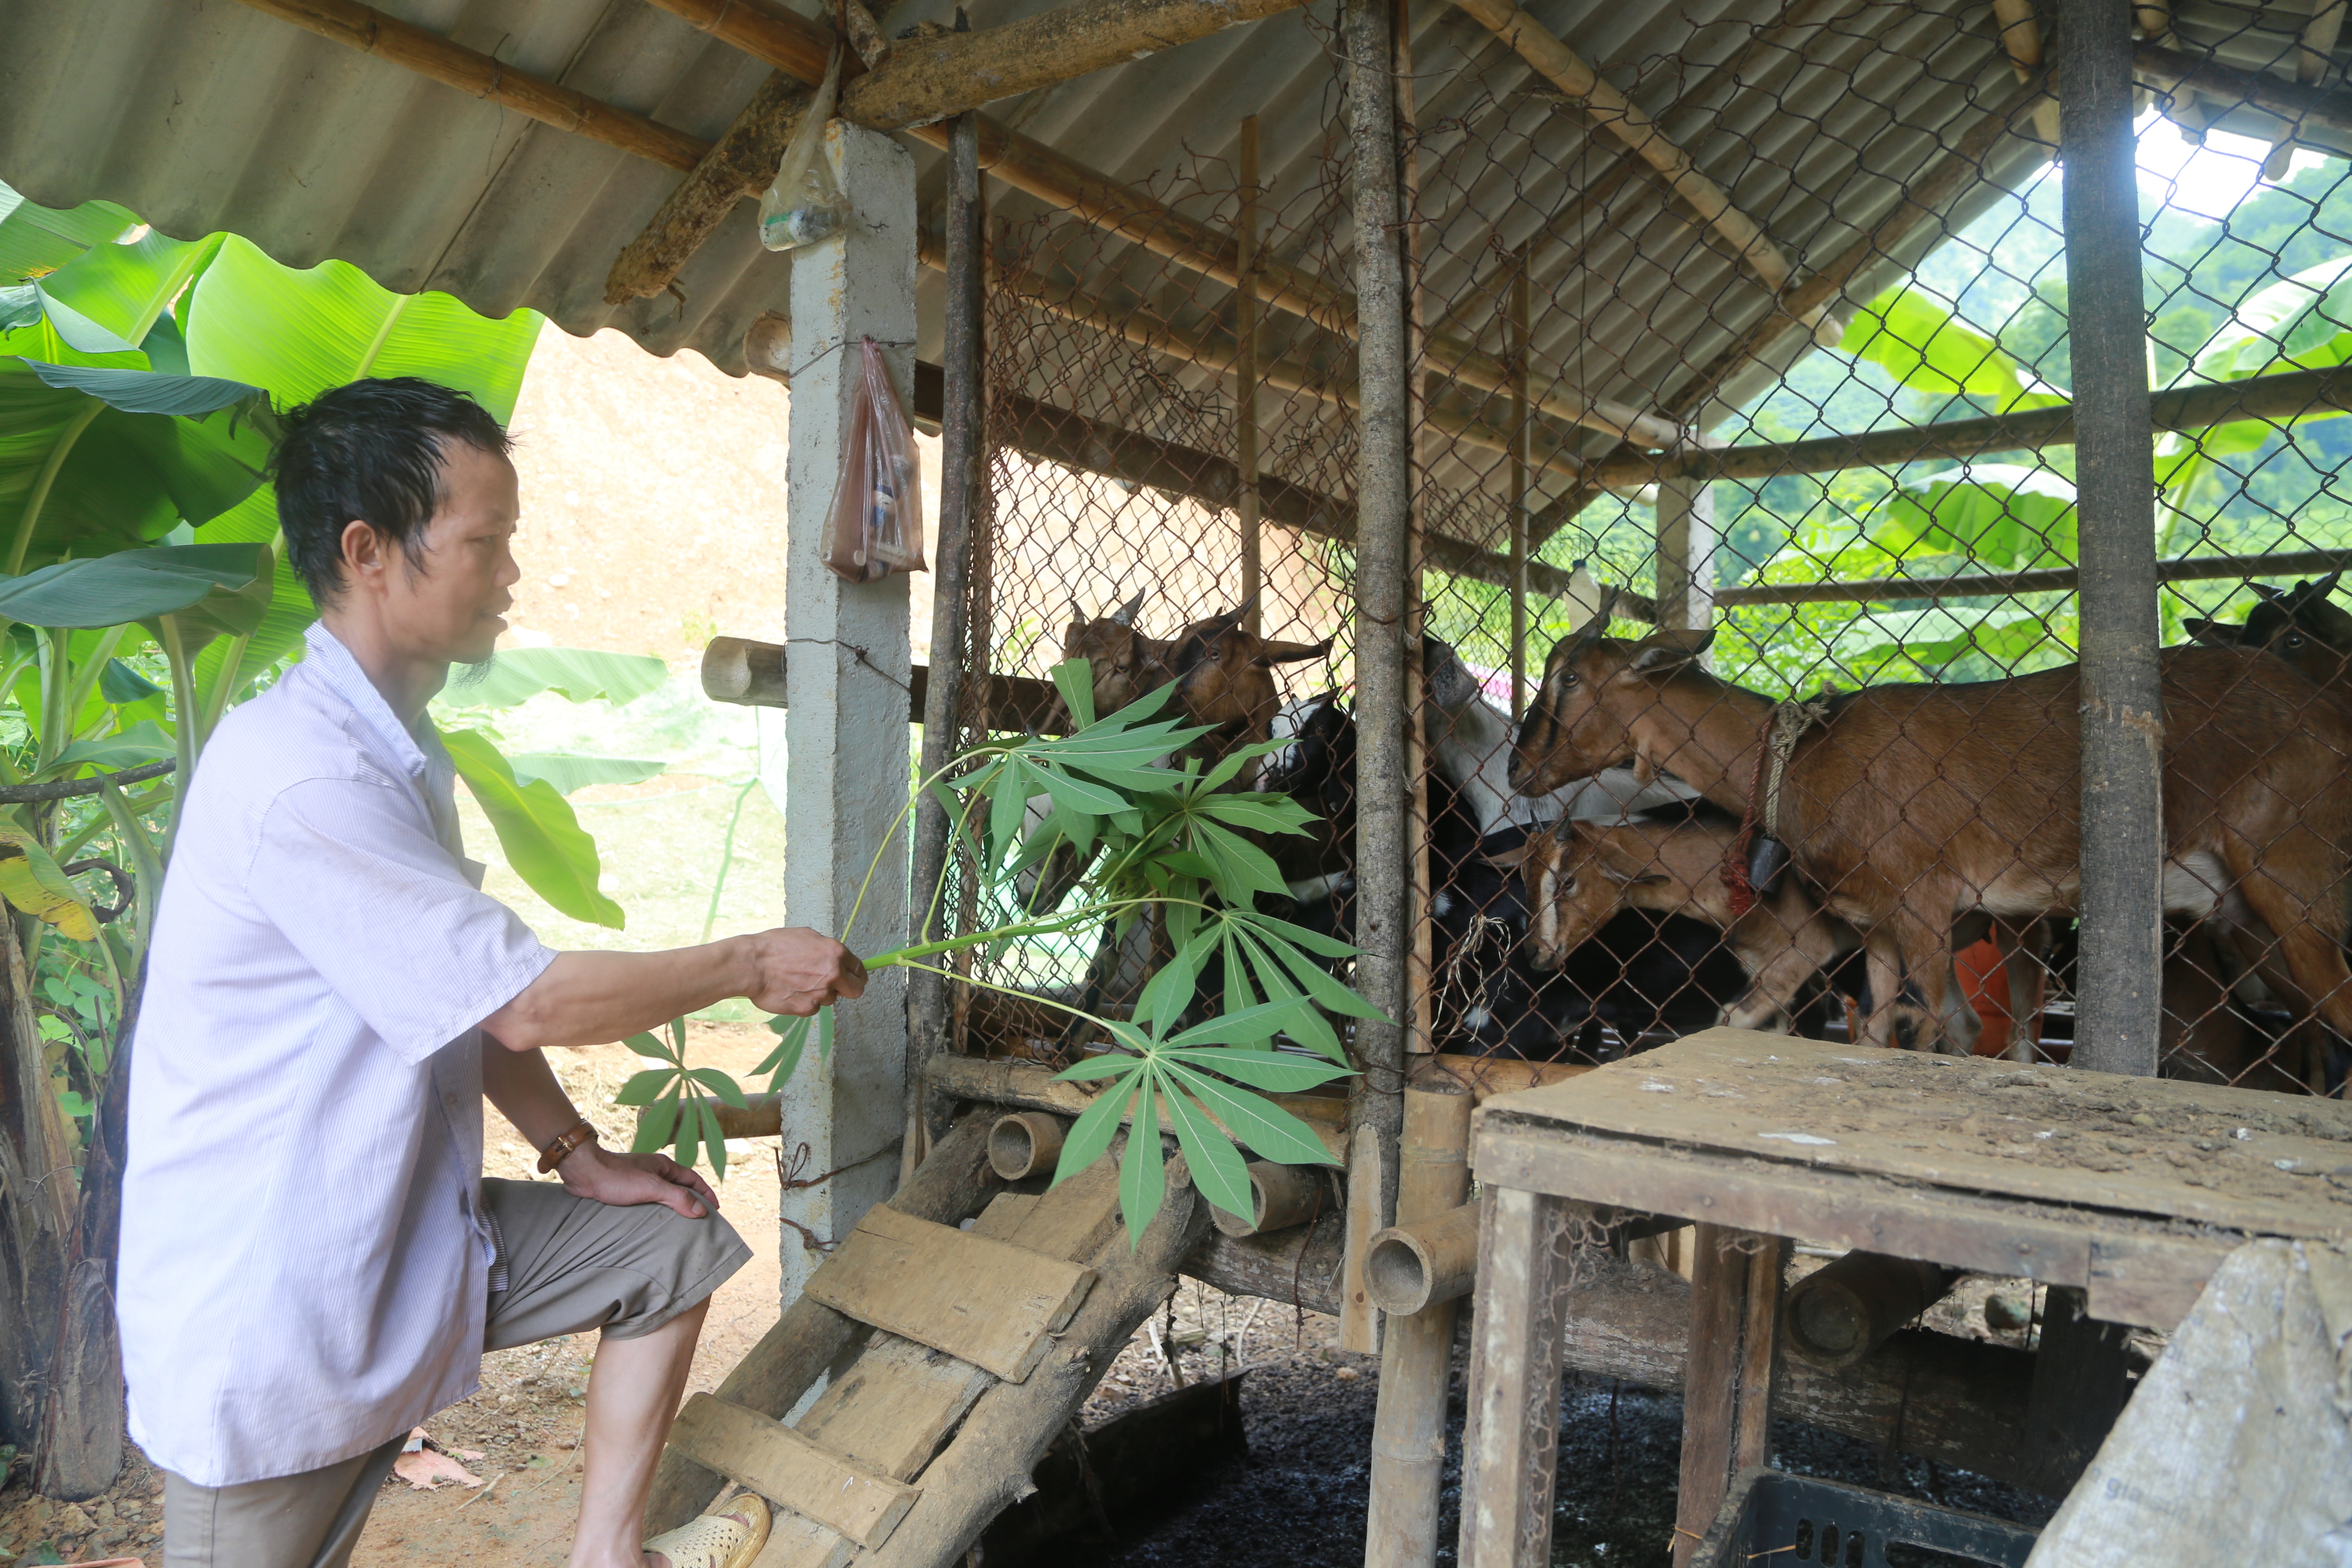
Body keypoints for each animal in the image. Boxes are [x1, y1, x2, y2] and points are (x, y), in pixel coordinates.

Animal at [1515, 625, 2352, 1053]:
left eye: (1569, 680)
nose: (1518, 767)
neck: (1806, 761)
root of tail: (2327, 709)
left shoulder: (1923, 903)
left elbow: (1938, 1029)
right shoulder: (1874, 926)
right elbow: (1878, 1035)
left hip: (2295, 875)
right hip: (2246, 919)